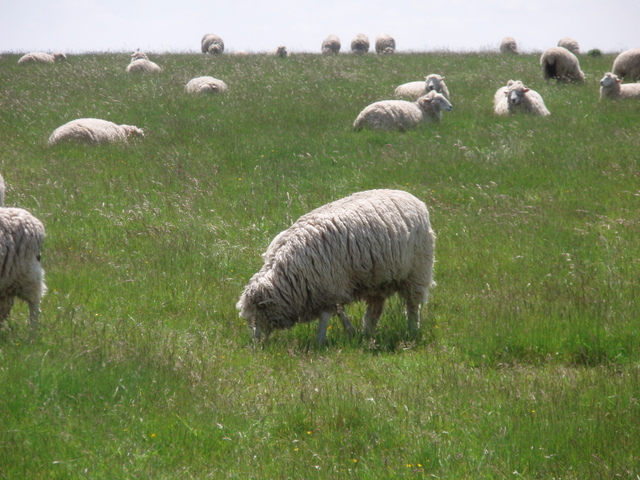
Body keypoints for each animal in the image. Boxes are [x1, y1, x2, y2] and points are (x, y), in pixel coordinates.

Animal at [236, 189, 436, 344]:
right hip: (378, 280)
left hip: (417, 271)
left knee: (413, 305)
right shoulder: (332, 287)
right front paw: (351, 333)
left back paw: (413, 330)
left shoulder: (328, 286)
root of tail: (409, 196)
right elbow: (340, 312)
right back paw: (368, 332)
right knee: (375, 309)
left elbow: (327, 316)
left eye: (256, 315)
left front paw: (320, 341)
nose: (256, 344)